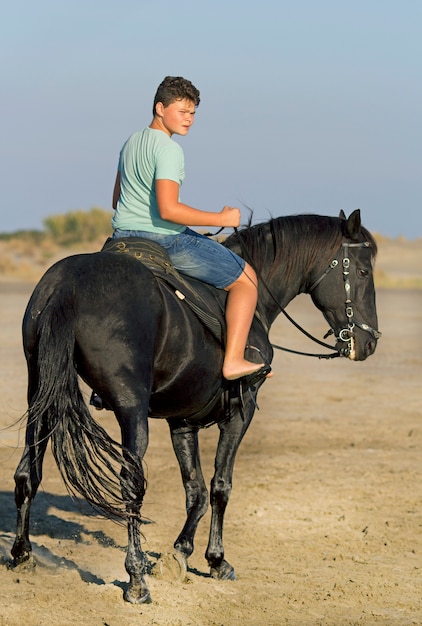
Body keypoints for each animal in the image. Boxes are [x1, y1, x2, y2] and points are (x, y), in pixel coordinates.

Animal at [10, 208, 380, 600]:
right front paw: (216, 560)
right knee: (130, 483)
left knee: (28, 472)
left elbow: (196, 490)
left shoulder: (182, 420)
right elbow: (219, 486)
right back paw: (136, 578)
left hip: (42, 394)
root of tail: (70, 286)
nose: (370, 342)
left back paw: (22, 554)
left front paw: (180, 553)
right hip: (130, 410)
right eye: (362, 272)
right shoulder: (241, 412)